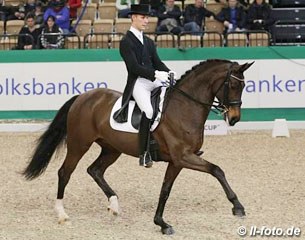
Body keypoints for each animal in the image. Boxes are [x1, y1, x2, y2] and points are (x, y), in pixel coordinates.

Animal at [22, 59, 253, 235]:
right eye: (233, 86)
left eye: (244, 87)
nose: (234, 119)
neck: (184, 107)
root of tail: (82, 97)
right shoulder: (183, 157)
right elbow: (217, 170)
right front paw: (237, 206)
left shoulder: (177, 161)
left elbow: (165, 190)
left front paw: (161, 223)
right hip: (79, 144)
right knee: (65, 172)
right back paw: (62, 214)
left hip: (111, 149)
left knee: (94, 170)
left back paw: (114, 206)